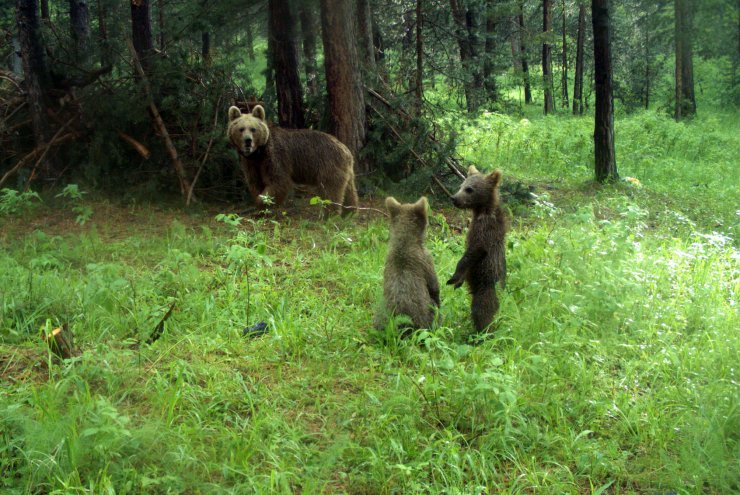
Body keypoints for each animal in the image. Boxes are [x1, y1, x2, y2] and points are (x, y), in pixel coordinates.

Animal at [228, 104, 362, 215]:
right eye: (241, 129)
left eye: (253, 129)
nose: (248, 140)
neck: (259, 153)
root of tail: (346, 150)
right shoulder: (251, 164)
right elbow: (255, 183)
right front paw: (259, 205)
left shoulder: (275, 157)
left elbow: (278, 181)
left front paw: (263, 204)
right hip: (345, 170)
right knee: (349, 190)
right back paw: (349, 212)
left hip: (328, 165)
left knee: (330, 191)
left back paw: (330, 215)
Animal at [446, 167, 508, 334]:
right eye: (461, 185)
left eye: (469, 189)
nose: (454, 198)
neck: (482, 211)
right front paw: (458, 281)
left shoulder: (485, 232)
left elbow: (472, 253)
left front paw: (454, 277)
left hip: (485, 286)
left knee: (482, 310)